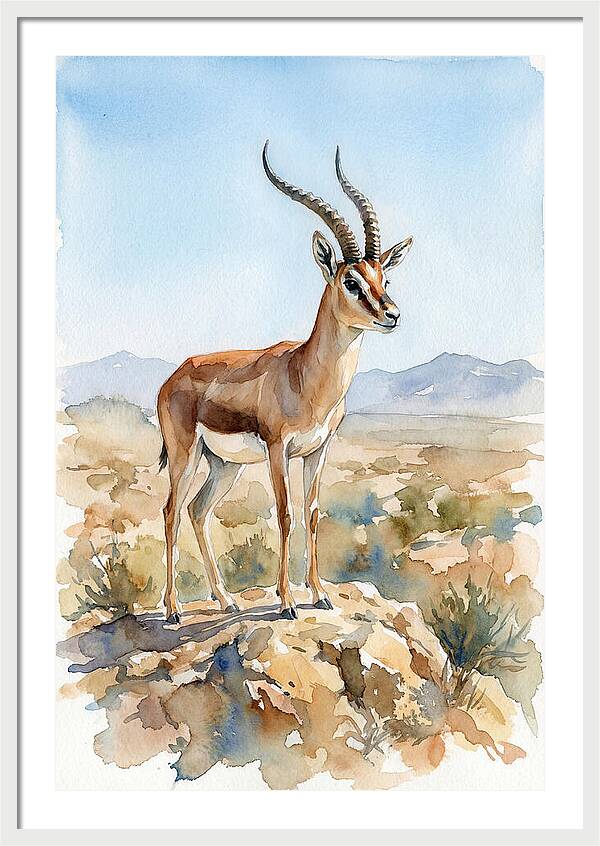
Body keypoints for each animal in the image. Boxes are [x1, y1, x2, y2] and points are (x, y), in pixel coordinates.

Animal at [156, 142, 413, 623]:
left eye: (383, 277)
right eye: (351, 281)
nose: (392, 314)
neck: (304, 375)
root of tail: (174, 375)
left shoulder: (318, 449)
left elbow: (311, 513)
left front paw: (320, 593)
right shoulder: (279, 448)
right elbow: (284, 514)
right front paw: (288, 601)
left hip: (225, 464)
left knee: (198, 511)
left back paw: (226, 599)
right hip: (186, 454)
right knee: (171, 511)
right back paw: (174, 610)